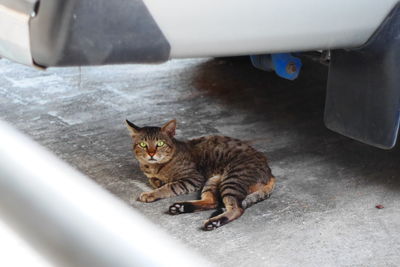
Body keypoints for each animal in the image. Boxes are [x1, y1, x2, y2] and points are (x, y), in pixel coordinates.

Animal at [126, 119, 276, 230]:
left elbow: (168, 186)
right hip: (213, 180)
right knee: (213, 202)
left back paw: (213, 222)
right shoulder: (153, 177)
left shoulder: (193, 178)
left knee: (237, 208)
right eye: (143, 144)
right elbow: (157, 182)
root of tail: (270, 171)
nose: (151, 154)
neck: (154, 167)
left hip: (232, 179)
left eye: (160, 143)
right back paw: (181, 207)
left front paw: (151, 193)